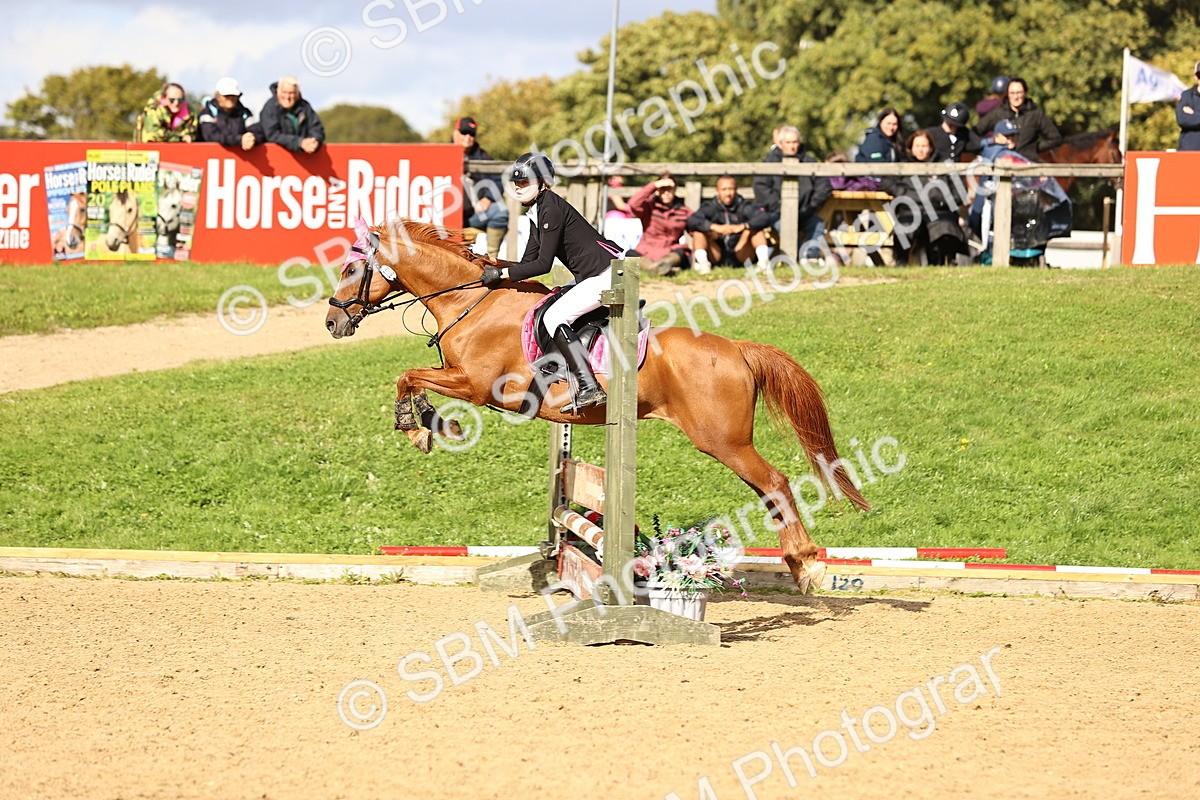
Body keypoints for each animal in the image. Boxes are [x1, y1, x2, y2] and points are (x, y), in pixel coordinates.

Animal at [324, 219, 870, 592]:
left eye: (351, 269)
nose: (332, 323)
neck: (473, 304)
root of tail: (736, 348)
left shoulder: (478, 386)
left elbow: (408, 376)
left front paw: (421, 428)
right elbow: (411, 378)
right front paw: (431, 425)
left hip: (722, 440)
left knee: (775, 482)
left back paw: (808, 563)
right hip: (726, 442)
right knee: (768, 490)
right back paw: (798, 563)